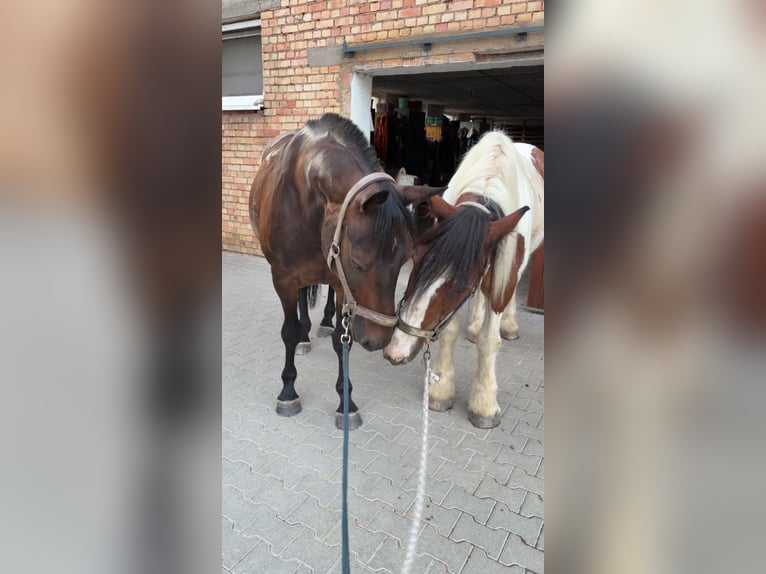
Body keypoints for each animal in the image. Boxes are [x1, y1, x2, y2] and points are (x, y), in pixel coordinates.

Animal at [250, 113, 443, 429]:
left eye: (404, 259)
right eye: (358, 263)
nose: (378, 340)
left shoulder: (342, 285)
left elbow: (343, 341)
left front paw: (346, 402)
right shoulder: (283, 279)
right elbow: (288, 332)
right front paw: (288, 391)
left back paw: (324, 322)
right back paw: (304, 336)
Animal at [383, 131, 544, 428]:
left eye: (459, 285)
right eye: (416, 256)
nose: (397, 350)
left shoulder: (503, 275)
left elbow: (489, 340)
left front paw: (484, 404)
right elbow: (449, 332)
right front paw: (441, 390)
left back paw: (510, 326)